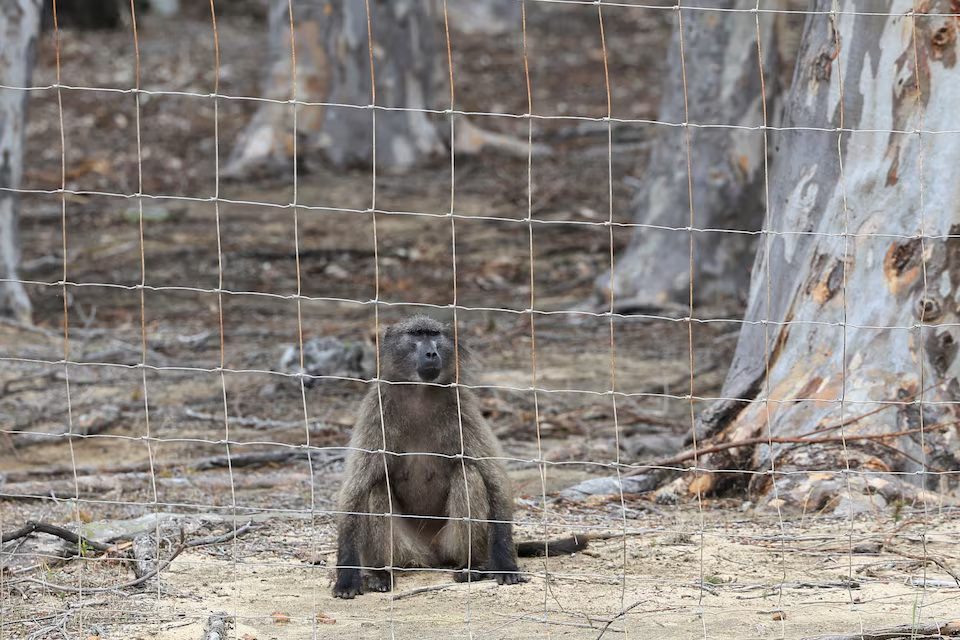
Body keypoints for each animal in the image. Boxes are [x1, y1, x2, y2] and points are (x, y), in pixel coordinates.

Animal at [332, 315, 586, 598]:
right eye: (416, 335)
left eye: (434, 335)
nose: (431, 353)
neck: (419, 392)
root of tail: (432, 557)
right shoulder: (375, 409)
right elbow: (355, 491)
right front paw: (347, 579)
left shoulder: (462, 406)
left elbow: (494, 481)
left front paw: (506, 565)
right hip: (406, 550)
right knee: (377, 488)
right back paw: (380, 574)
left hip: (451, 542)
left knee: (468, 473)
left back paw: (471, 567)